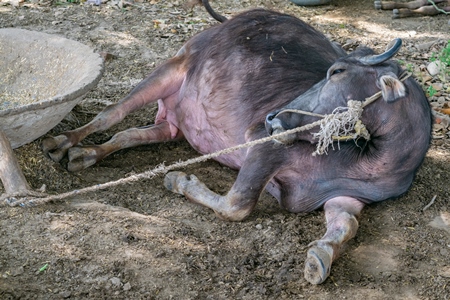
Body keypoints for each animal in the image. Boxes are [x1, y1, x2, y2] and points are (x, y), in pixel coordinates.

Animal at [42, 1, 432, 284]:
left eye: (337, 72)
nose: (273, 118)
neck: (365, 162)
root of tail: (234, 19)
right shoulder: (263, 145)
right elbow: (237, 204)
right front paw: (180, 180)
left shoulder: (348, 199)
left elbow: (347, 226)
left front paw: (318, 257)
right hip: (172, 66)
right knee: (112, 114)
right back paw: (61, 142)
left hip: (173, 124)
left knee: (132, 134)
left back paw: (85, 155)